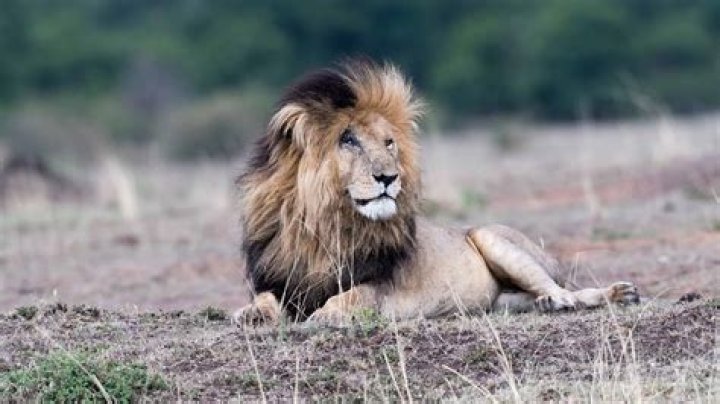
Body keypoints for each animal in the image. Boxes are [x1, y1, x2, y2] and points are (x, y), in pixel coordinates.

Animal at [234, 60, 639, 325]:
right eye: (349, 140)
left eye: (389, 143)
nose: (389, 177)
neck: (323, 224)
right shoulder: (282, 280)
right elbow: (266, 298)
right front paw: (251, 313)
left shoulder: (383, 285)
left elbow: (354, 295)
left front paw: (325, 315)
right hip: (498, 300)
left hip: (492, 237)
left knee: (567, 291)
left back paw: (598, 296)